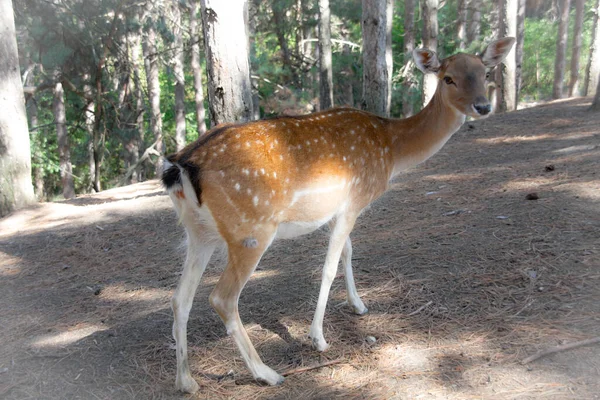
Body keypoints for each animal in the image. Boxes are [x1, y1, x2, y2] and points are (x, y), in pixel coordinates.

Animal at [161, 36, 516, 392]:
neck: (392, 148)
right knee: (222, 298)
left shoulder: (339, 209)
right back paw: (266, 373)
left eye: (485, 73)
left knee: (180, 298)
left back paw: (186, 381)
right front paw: (318, 338)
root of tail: (180, 166)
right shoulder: (354, 200)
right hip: (250, 230)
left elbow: (348, 251)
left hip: (199, 232)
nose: (483, 107)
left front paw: (358, 305)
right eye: (448, 78)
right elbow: (329, 266)